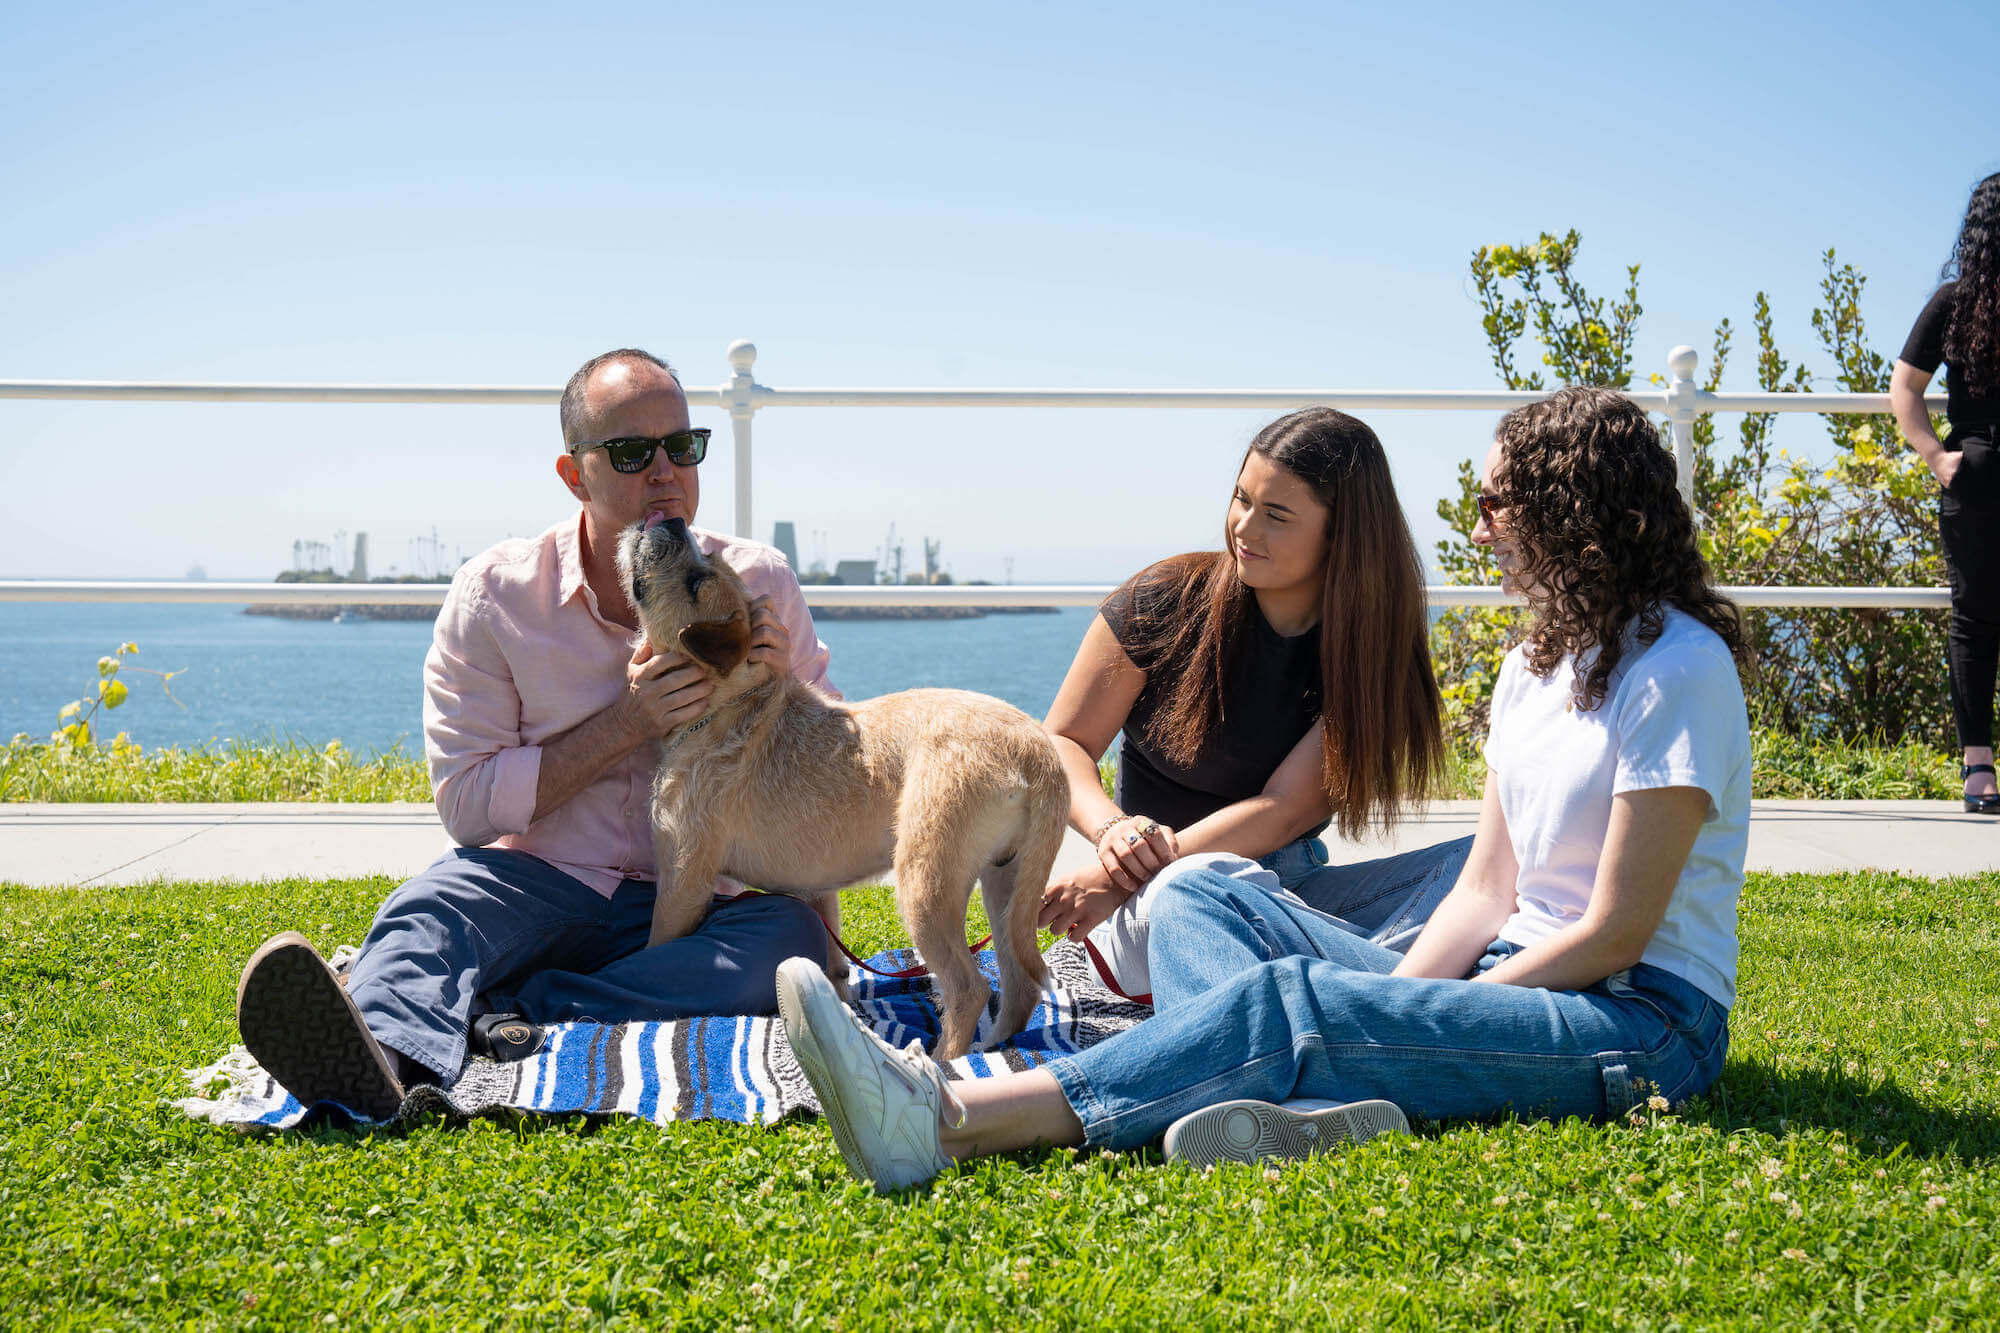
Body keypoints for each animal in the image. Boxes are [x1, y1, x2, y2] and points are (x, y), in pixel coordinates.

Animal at [620, 512, 1064, 1056]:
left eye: (696, 581)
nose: (673, 519)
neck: (729, 704)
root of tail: (1036, 749)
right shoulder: (816, 891)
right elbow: (833, 968)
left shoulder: (683, 877)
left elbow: (655, 948)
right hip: (1006, 884)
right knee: (1020, 983)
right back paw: (992, 1048)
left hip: (925, 882)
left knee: (970, 988)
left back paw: (946, 1062)